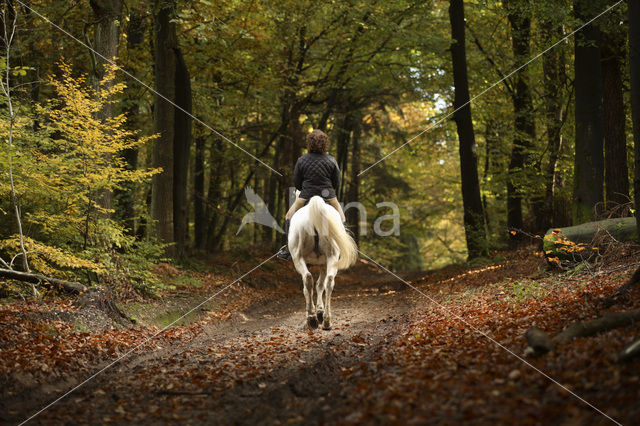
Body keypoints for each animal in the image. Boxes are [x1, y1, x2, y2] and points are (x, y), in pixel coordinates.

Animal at [288, 196, 358, 330]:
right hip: (332, 257)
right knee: (329, 281)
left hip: (298, 258)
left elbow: (312, 288)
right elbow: (320, 285)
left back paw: (312, 318)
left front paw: (316, 312)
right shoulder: (324, 264)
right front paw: (320, 312)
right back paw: (326, 321)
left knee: (308, 279)